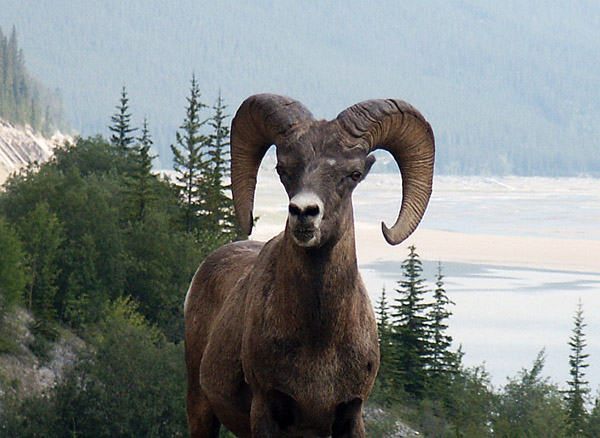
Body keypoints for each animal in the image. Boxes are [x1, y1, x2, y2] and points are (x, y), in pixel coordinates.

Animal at [185, 94, 434, 436]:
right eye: (282, 169)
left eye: (354, 174)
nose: (304, 212)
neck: (319, 341)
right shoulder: (266, 409)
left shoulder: (351, 414)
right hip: (200, 409)